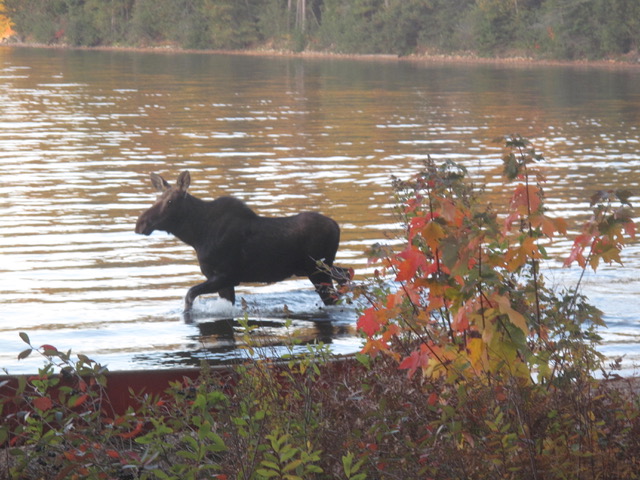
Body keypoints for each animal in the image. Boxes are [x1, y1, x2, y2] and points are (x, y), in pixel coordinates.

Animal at [135, 170, 352, 312]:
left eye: (170, 202)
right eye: (156, 199)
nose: (140, 223)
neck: (196, 236)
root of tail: (337, 227)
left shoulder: (226, 275)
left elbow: (189, 296)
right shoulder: (222, 280)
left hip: (317, 271)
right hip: (321, 267)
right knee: (345, 273)